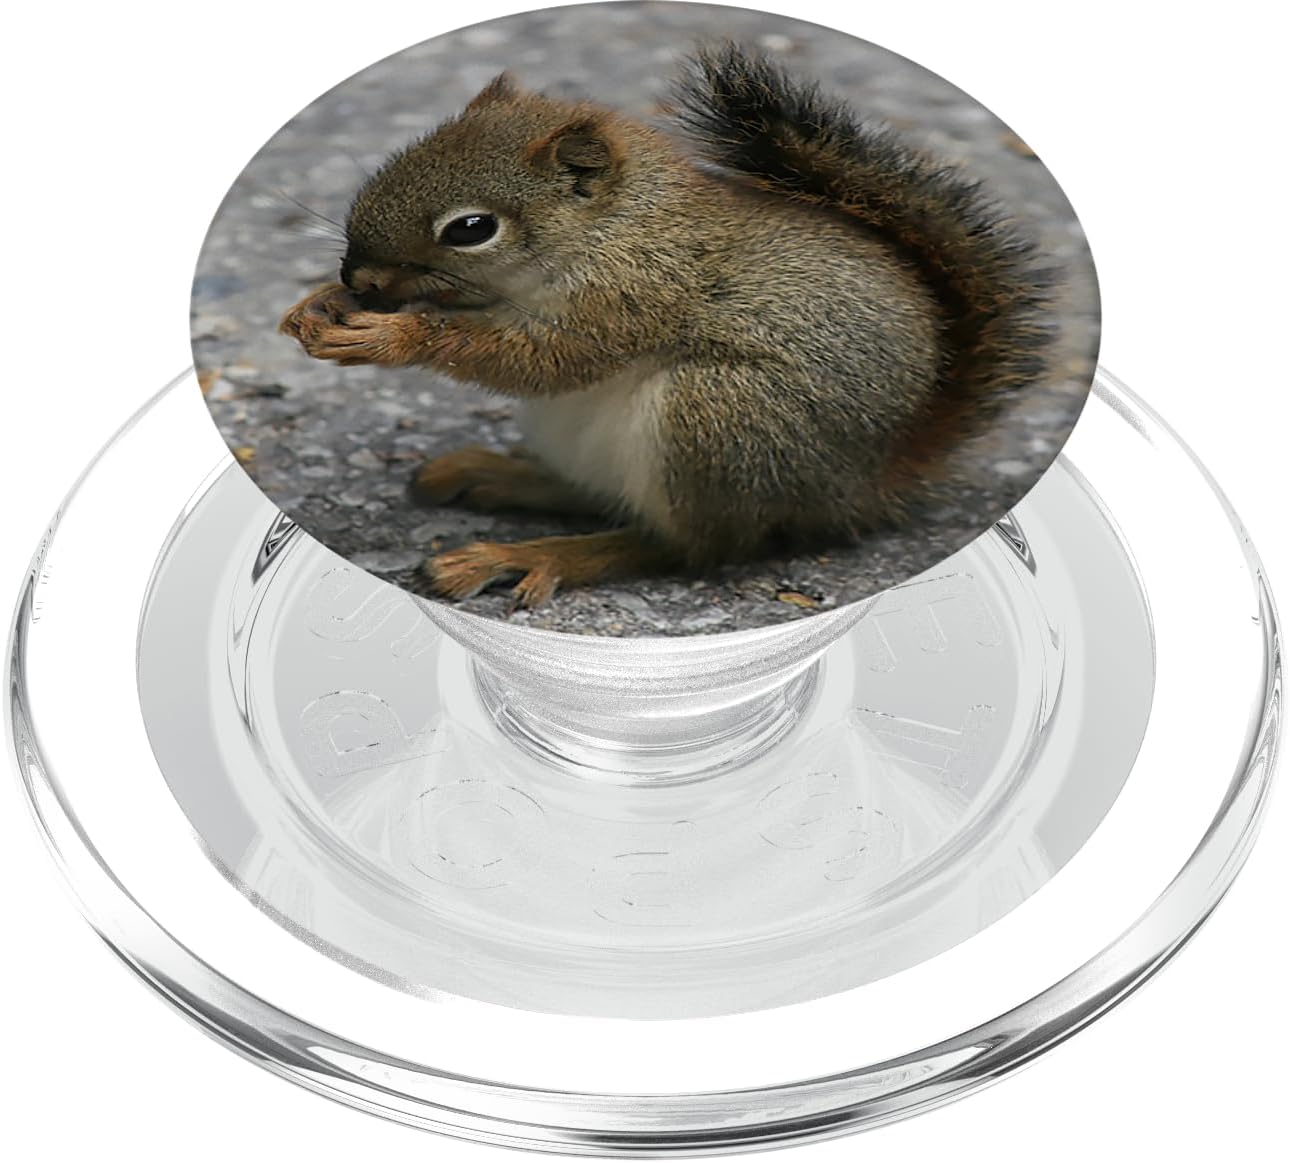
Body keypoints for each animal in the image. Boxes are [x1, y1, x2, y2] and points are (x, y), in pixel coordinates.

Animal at [280, 43, 1053, 608]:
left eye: (471, 229)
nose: (359, 278)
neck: (614, 226)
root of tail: (860, 486)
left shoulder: (632, 294)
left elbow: (543, 359)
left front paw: (391, 335)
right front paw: (317, 305)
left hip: (719, 417)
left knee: (688, 546)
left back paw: (533, 554)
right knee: (603, 496)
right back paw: (498, 476)